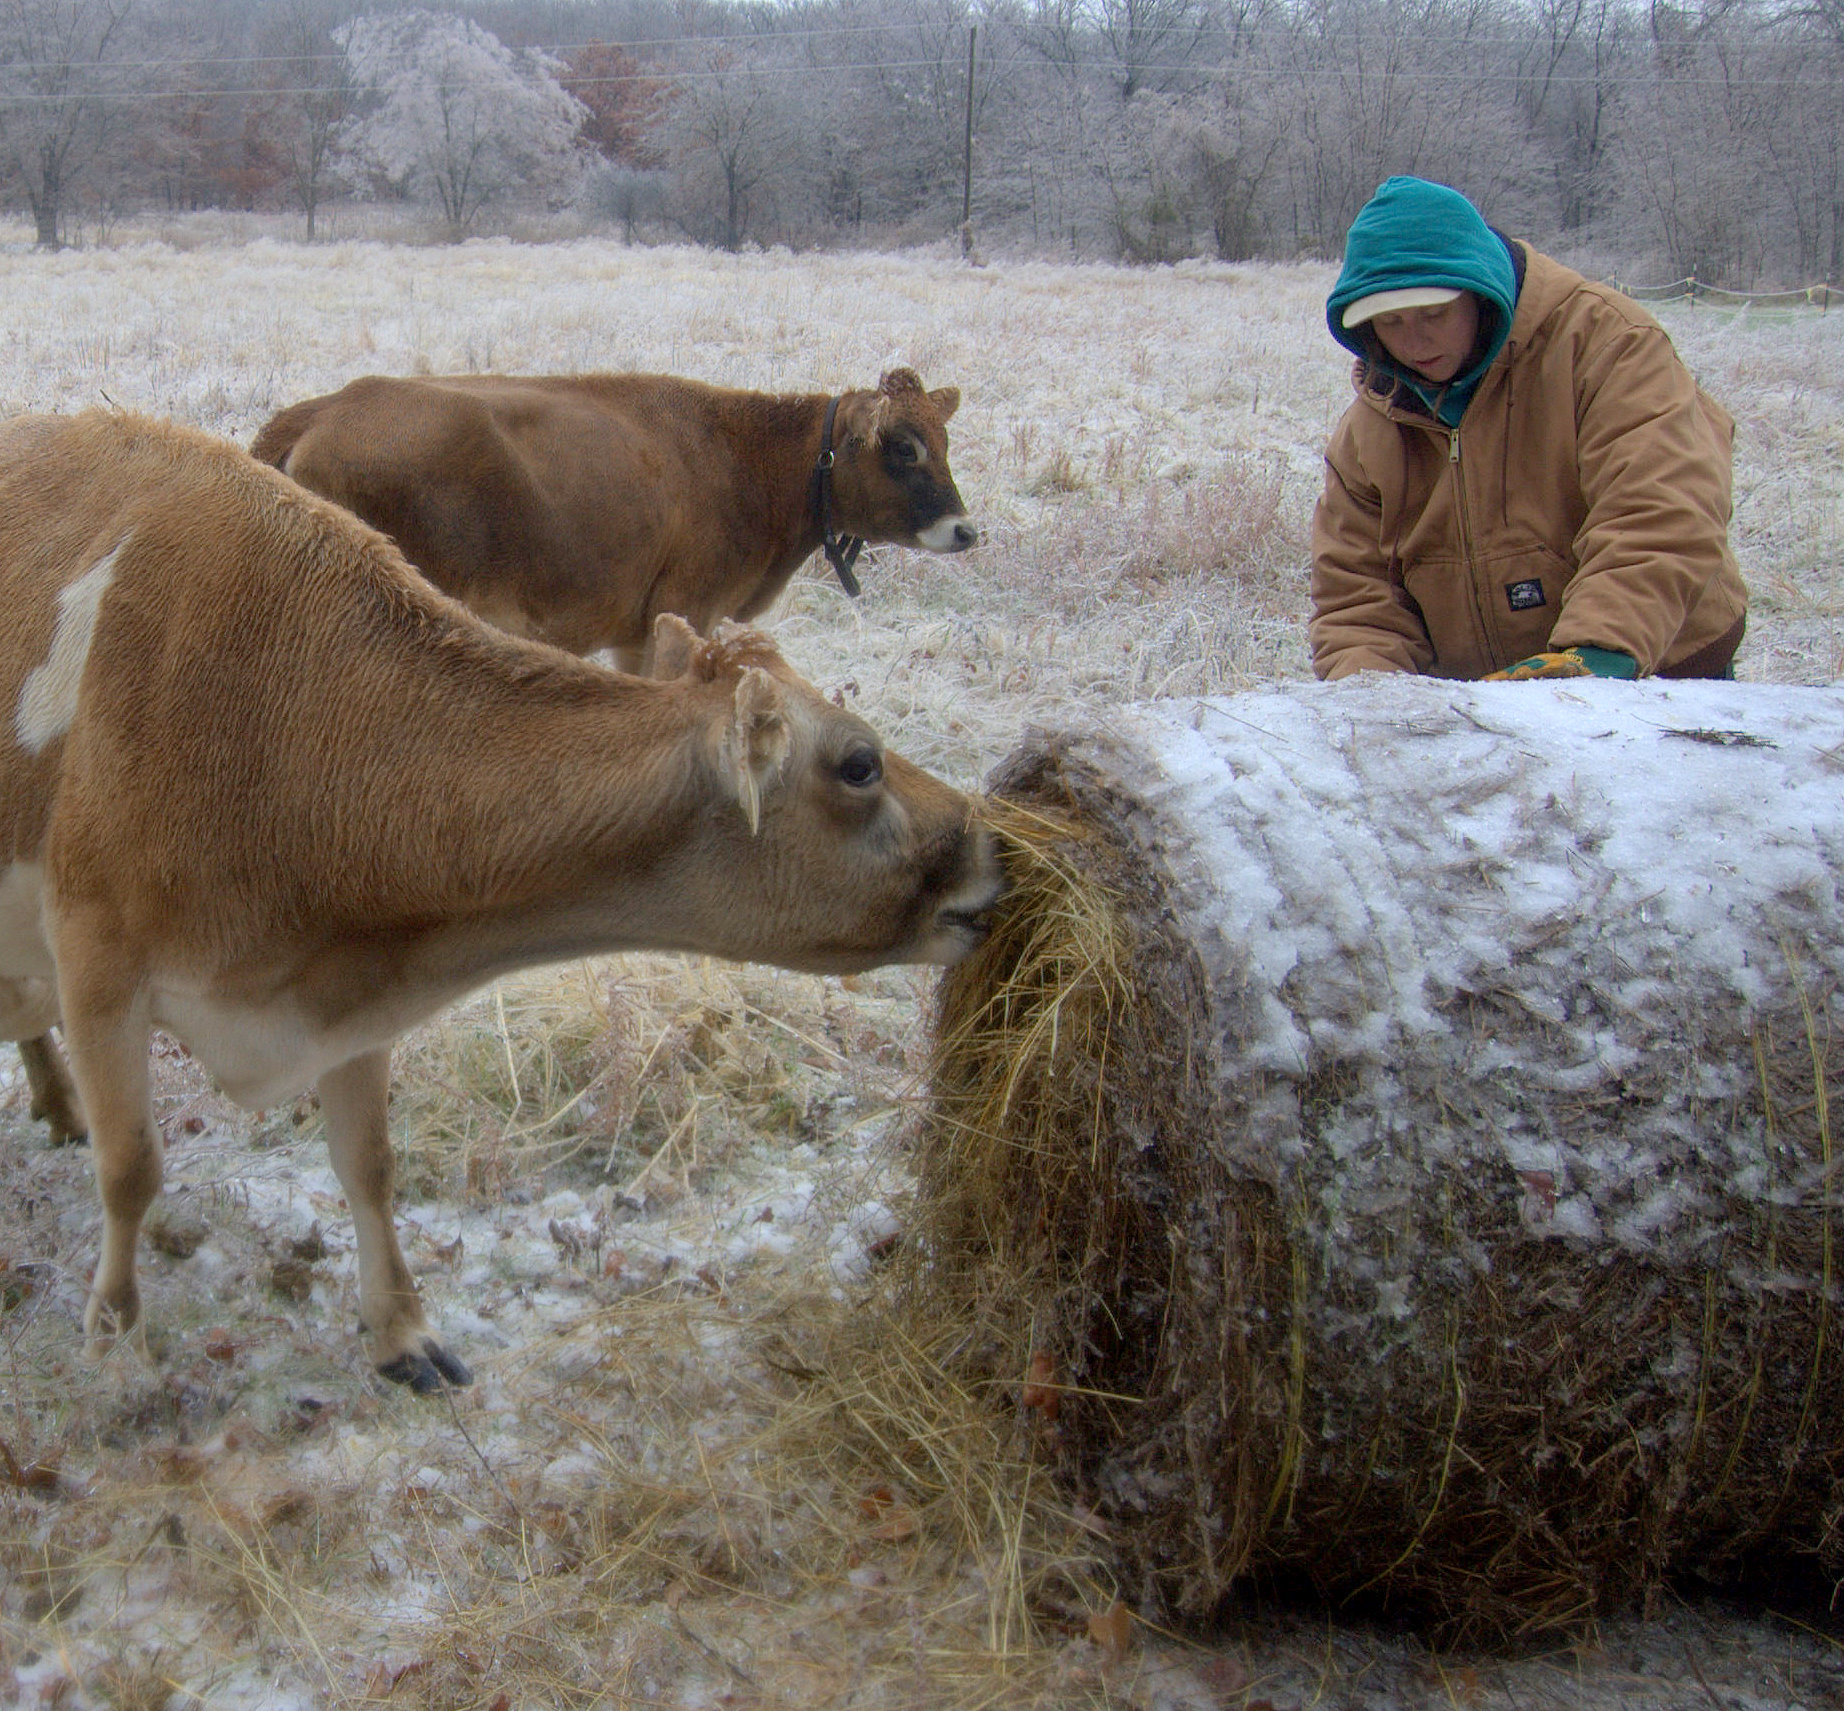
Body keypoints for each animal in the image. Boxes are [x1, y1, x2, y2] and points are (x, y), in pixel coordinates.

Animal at [0, 410, 1002, 1392]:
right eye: (860, 763)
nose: (994, 846)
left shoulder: (352, 982)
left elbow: (368, 1163)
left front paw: (402, 1333)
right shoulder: (98, 961)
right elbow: (132, 1168)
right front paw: (115, 1340)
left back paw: (56, 1102)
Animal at [249, 367, 978, 668]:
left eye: (943, 441)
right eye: (903, 446)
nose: (965, 530)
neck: (744, 459)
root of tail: (324, 408)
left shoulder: (635, 629)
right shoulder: (687, 609)